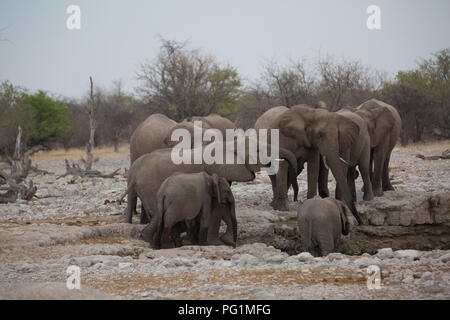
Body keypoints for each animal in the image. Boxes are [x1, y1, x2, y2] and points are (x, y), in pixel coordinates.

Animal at [125, 136, 298, 246]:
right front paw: (215, 243)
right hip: (150, 186)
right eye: (257, 151)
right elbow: (218, 208)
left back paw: (148, 239)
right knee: (158, 214)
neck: (230, 144)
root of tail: (134, 170)